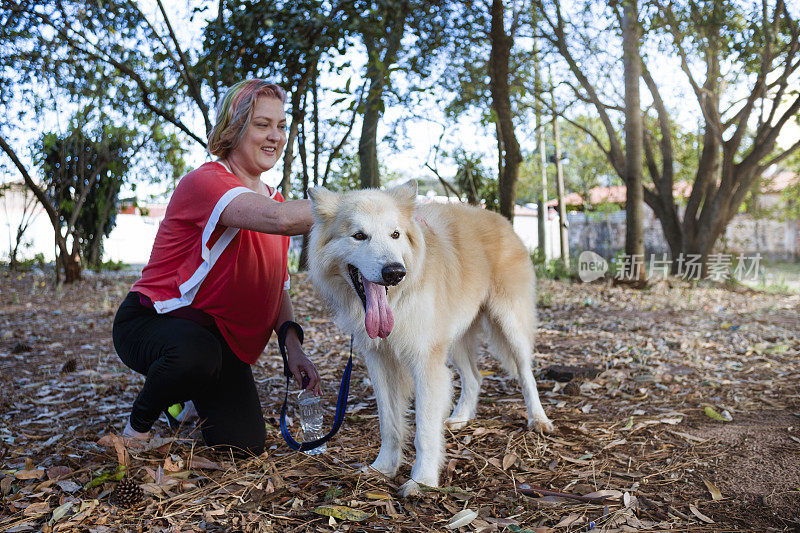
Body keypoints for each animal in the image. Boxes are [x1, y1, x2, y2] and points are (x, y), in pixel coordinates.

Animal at [308, 181, 556, 496]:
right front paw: (383, 468)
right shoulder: (380, 363)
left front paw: (423, 480)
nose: (395, 272)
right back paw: (461, 418)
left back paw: (539, 419)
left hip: (510, 326)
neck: (399, 301)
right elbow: (389, 424)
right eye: (359, 235)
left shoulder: (426, 364)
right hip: (455, 342)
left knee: (526, 375)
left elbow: (424, 429)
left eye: (395, 234)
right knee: (475, 378)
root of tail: (501, 219)